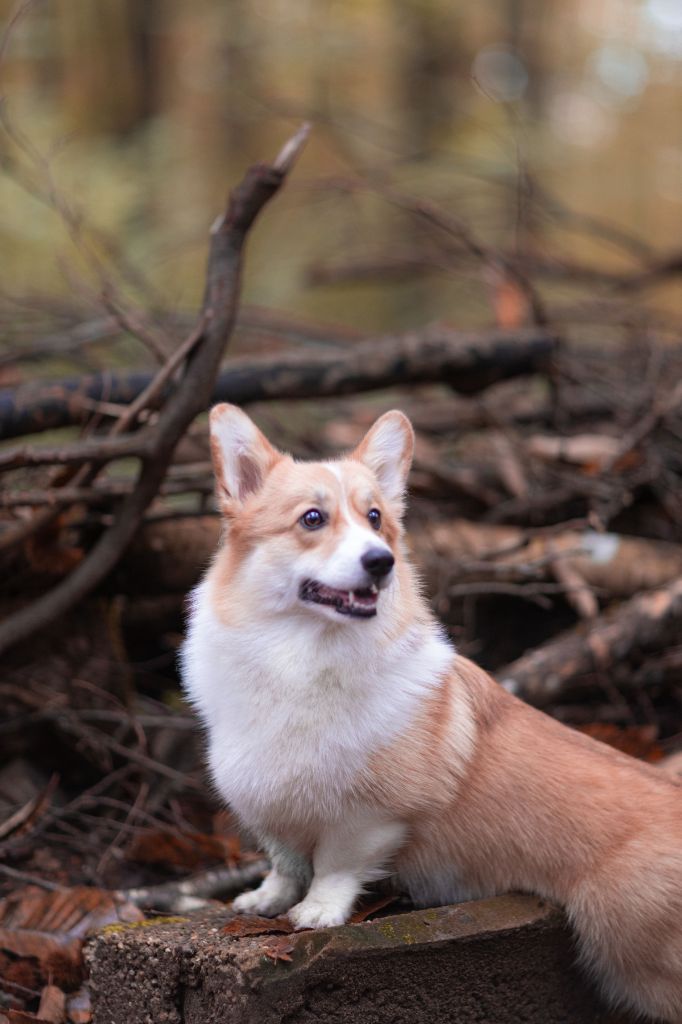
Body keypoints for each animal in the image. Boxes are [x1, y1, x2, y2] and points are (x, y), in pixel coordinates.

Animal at [180, 403, 679, 1019]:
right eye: (312, 519)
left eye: (375, 518)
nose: (382, 561)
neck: (299, 658)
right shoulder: (272, 809)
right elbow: (285, 861)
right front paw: (265, 898)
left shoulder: (370, 816)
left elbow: (335, 866)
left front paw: (317, 912)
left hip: (634, 949)